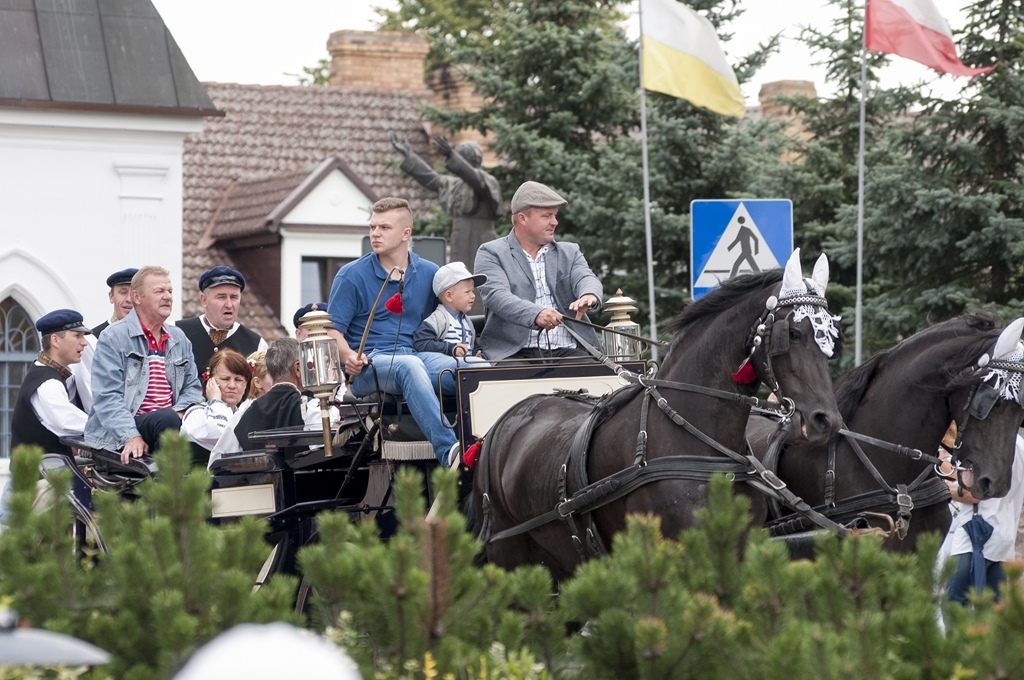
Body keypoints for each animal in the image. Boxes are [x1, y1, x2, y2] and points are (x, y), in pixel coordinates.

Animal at [471, 249, 845, 580]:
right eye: (793, 333)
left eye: (831, 338)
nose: (825, 421)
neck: (697, 445)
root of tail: (508, 419)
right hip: (507, 552)